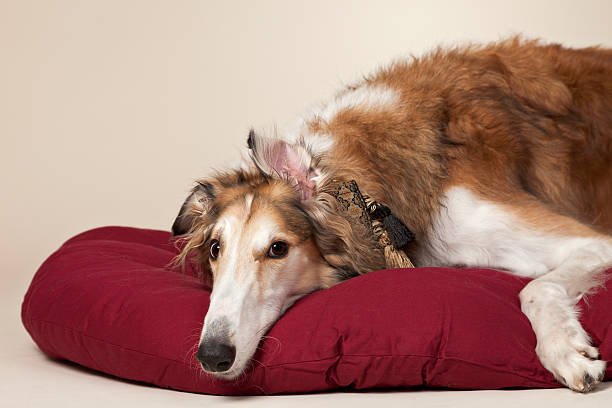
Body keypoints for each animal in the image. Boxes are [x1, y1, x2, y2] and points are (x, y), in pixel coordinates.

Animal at [171, 38, 612, 392]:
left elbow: (533, 289)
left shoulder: (593, 243)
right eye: (215, 249)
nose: (211, 356)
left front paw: (568, 354)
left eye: (278, 249)